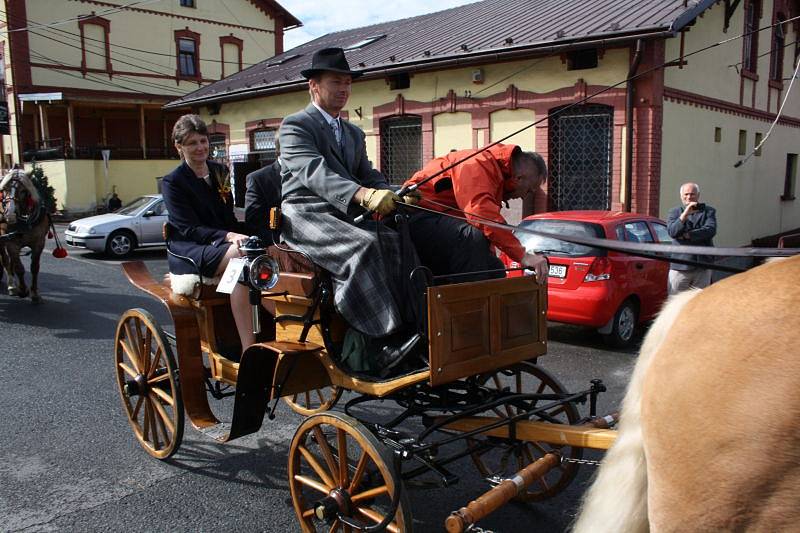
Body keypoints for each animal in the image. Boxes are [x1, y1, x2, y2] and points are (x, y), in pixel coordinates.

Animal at [0, 170, 49, 304]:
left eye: (23, 191)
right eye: (4, 189)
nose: (9, 215)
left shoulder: (39, 242)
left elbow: (34, 267)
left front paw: (35, 293)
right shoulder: (11, 243)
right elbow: (19, 268)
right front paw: (22, 290)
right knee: (5, 260)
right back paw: (12, 286)